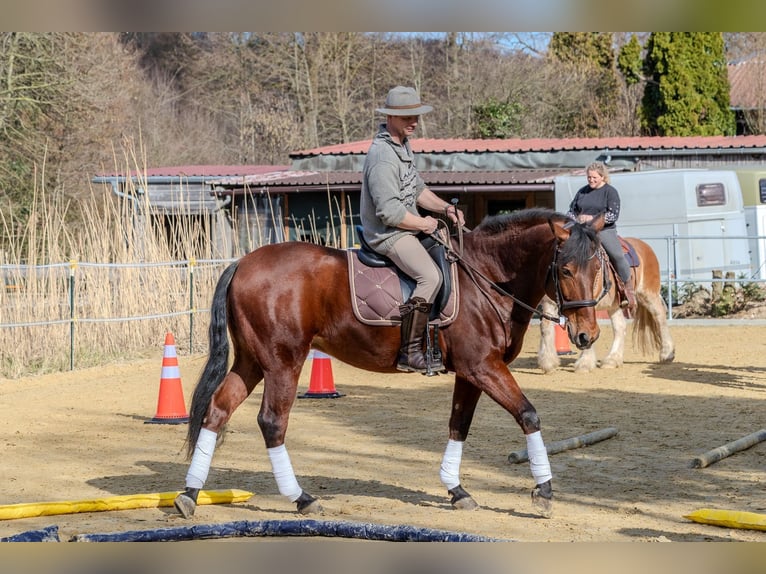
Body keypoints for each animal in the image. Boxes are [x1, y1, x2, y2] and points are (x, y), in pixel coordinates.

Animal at [172, 208, 607, 521]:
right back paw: (301, 498)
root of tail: (242, 263)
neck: (486, 275)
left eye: (599, 268)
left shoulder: (471, 373)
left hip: (252, 361)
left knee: (218, 409)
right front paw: (544, 492)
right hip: (283, 362)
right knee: (272, 422)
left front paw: (456, 490)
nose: (586, 336)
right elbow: (528, 415)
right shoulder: (484, 367)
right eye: (565, 269)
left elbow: (458, 425)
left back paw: (189, 495)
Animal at [537, 236, 675, 373]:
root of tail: (645, 246)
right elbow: (545, 327)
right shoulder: (549, 303)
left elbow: (588, 331)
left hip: (648, 294)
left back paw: (667, 353)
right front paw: (548, 362)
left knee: (660, 316)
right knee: (620, 326)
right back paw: (612, 359)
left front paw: (584, 363)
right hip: (615, 305)